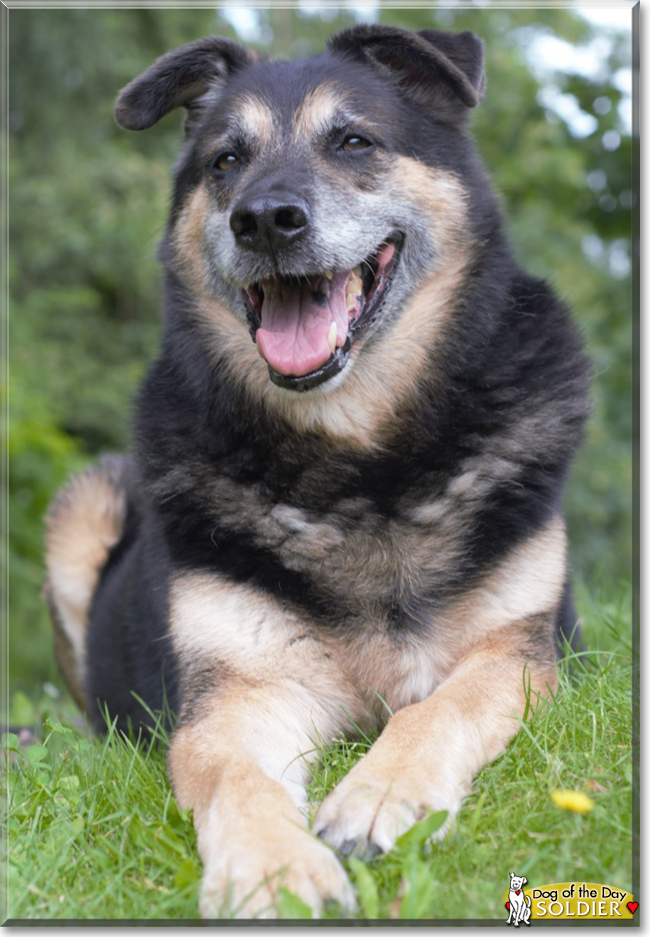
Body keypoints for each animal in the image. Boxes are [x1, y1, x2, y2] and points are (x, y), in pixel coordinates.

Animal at [43, 25, 588, 916]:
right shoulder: (241, 696)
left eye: (354, 142)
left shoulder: (518, 656)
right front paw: (273, 869)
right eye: (226, 160)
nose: (264, 220)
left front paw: (376, 796)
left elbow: (437, 710)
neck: (360, 464)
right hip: (86, 503)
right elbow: (236, 775)